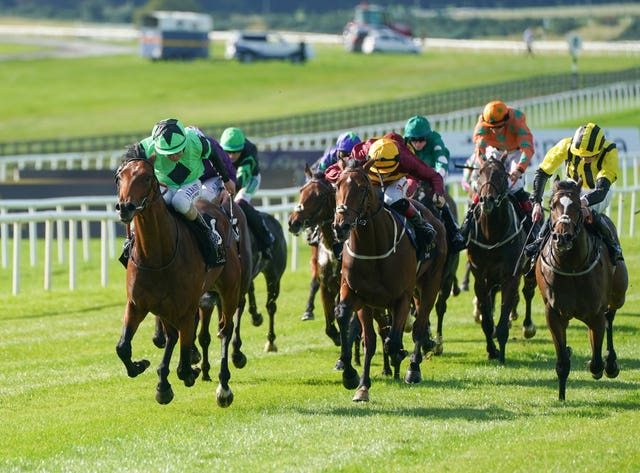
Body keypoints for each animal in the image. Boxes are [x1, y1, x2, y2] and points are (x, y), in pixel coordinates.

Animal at [114, 149, 244, 408]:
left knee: (225, 329)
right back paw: (164, 379)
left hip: (230, 288)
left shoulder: (186, 308)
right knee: (172, 336)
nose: (125, 207)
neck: (156, 255)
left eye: (146, 177)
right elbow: (123, 347)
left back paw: (223, 387)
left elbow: (184, 365)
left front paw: (191, 370)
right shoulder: (137, 304)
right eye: (118, 177)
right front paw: (143, 367)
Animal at [330, 158, 444, 398]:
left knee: (419, 325)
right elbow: (362, 334)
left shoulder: (402, 297)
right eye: (337, 187)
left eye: (362, 188)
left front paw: (400, 356)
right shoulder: (359, 295)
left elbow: (393, 340)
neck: (373, 246)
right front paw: (356, 380)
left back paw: (413, 368)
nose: (341, 226)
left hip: (431, 282)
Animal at [464, 154, 536, 362]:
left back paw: (528, 326)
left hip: (529, 269)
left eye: (503, 176)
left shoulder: (511, 276)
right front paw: (491, 349)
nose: (487, 199)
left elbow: (505, 312)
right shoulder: (480, 277)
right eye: (480, 173)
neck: (492, 235)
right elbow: (487, 317)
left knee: (528, 292)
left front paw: (501, 352)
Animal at [532, 177, 628, 398]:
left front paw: (603, 365)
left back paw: (611, 363)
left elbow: (596, 363)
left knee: (610, 317)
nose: (562, 237)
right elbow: (562, 362)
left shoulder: (595, 313)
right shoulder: (553, 313)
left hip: (618, 295)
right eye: (551, 205)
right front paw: (561, 395)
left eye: (577, 206)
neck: (571, 266)